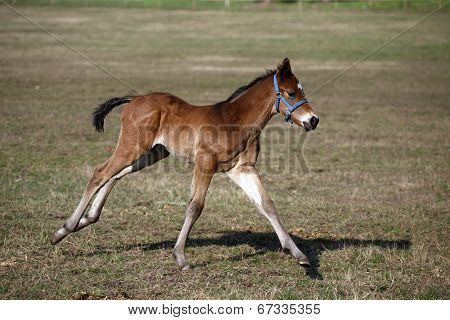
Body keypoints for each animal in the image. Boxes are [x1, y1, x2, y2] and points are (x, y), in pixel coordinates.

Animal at [51, 58, 320, 270]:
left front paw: (298, 254)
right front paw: (180, 256)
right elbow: (195, 207)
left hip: (152, 154)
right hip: (132, 147)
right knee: (100, 173)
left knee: (115, 175)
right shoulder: (205, 164)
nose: (313, 120)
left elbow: (268, 204)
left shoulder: (241, 169)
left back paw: (86, 219)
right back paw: (65, 228)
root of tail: (135, 98)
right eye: (291, 93)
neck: (234, 121)